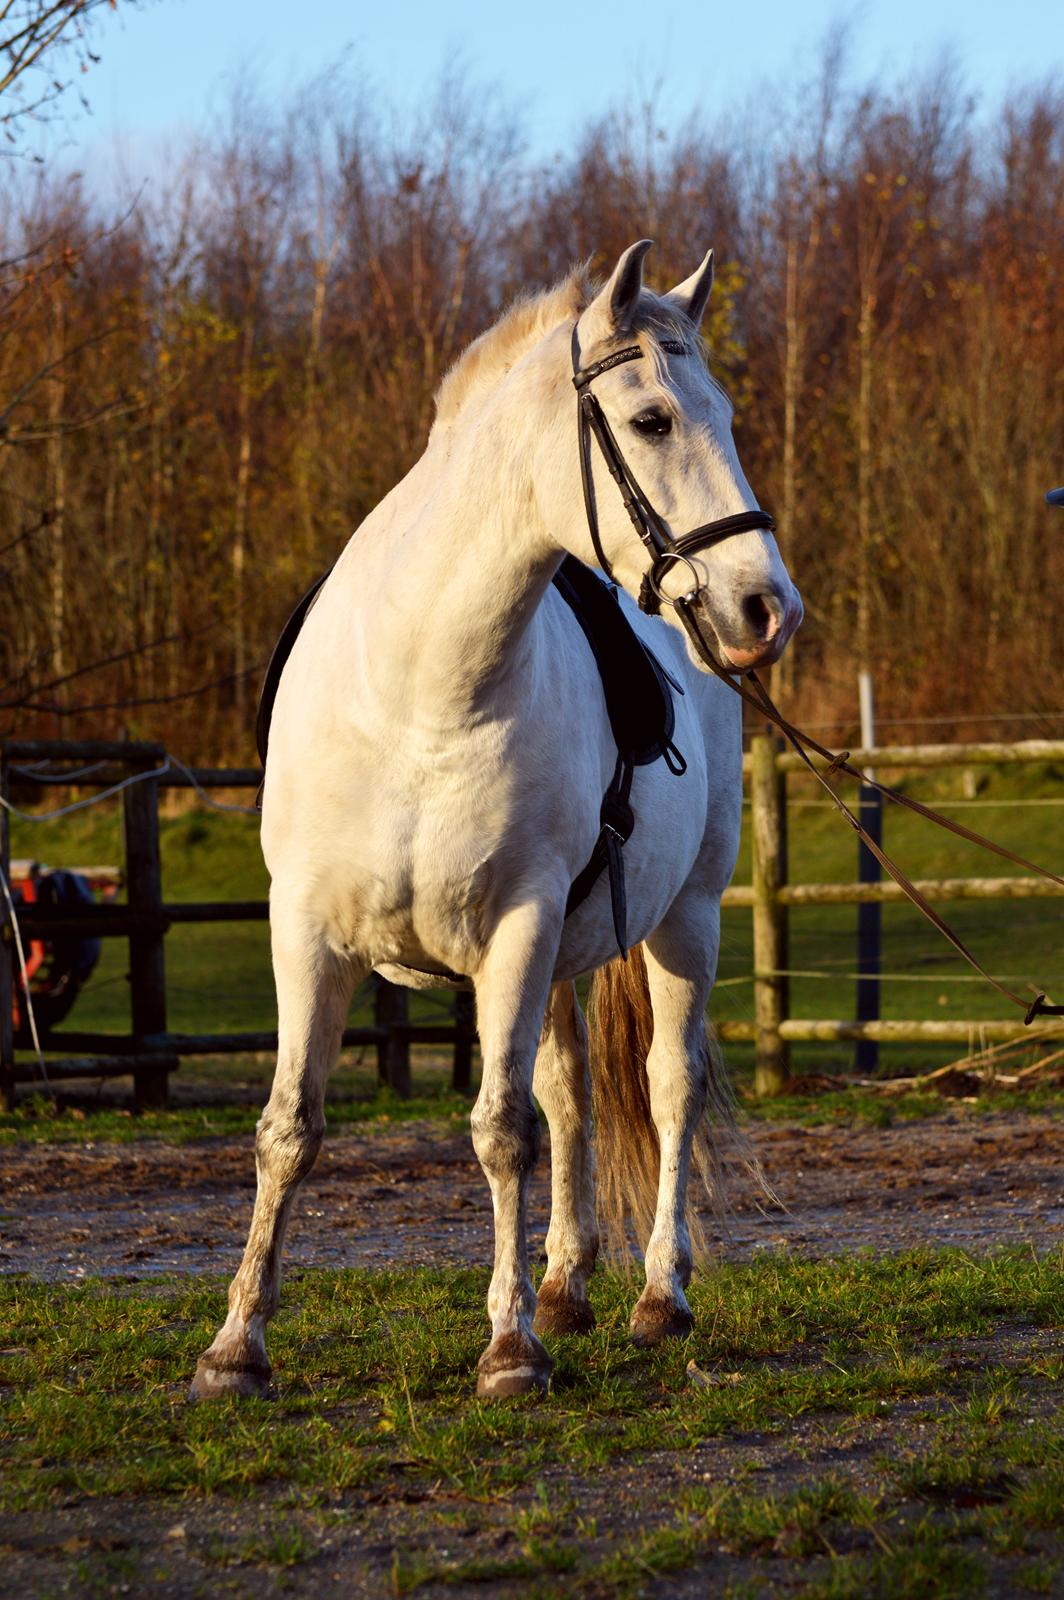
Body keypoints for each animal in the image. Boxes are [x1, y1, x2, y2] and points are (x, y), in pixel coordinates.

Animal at [191, 236, 796, 1401]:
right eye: (653, 419)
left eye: (732, 417)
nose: (764, 608)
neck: (417, 694)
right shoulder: (307, 934)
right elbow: (291, 1130)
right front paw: (236, 1345)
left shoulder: (517, 928)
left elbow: (502, 1132)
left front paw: (508, 1347)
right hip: (569, 951)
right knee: (569, 1091)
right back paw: (564, 1284)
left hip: (683, 921)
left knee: (666, 1089)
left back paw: (657, 1296)